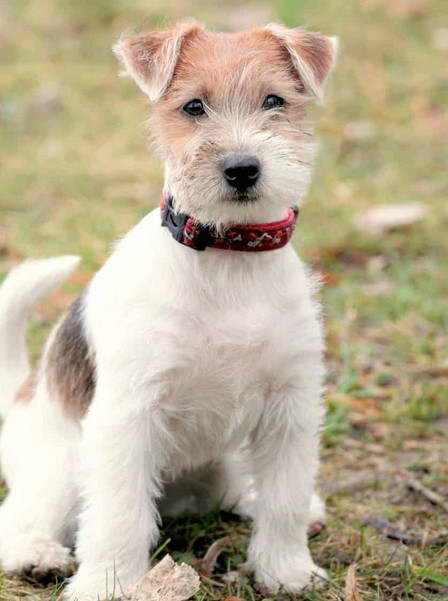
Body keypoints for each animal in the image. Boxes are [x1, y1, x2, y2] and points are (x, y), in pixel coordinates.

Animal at [0, 21, 336, 596]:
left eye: (274, 100)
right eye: (193, 106)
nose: (242, 169)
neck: (228, 254)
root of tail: (22, 392)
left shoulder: (289, 406)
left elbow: (284, 499)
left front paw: (286, 571)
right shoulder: (130, 415)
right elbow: (118, 513)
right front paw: (106, 584)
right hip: (62, 466)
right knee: (19, 519)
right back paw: (36, 556)